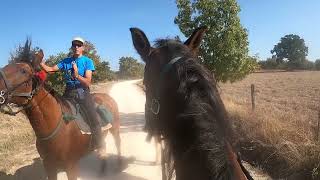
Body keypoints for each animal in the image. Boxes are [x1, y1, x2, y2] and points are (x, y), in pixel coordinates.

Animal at [0, 44, 121, 180]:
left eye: (23, 71)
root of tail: (107, 97)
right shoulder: (49, 166)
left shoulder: (71, 166)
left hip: (115, 128)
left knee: (118, 144)